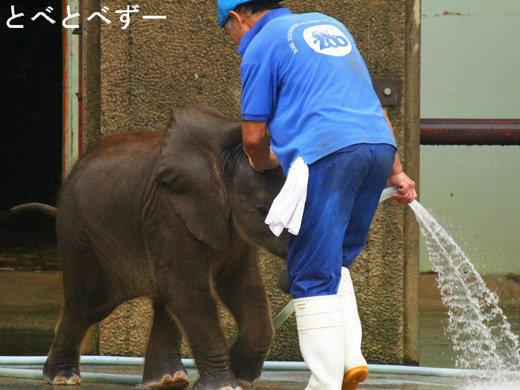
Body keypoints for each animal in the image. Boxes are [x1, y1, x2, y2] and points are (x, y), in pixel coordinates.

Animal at [41, 104, 288, 390]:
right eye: (262, 211)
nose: (286, 281)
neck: (225, 147)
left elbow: (242, 284)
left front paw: (242, 377)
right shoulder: (169, 212)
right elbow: (189, 288)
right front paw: (227, 385)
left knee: (161, 300)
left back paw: (168, 380)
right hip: (78, 235)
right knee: (86, 303)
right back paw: (63, 378)